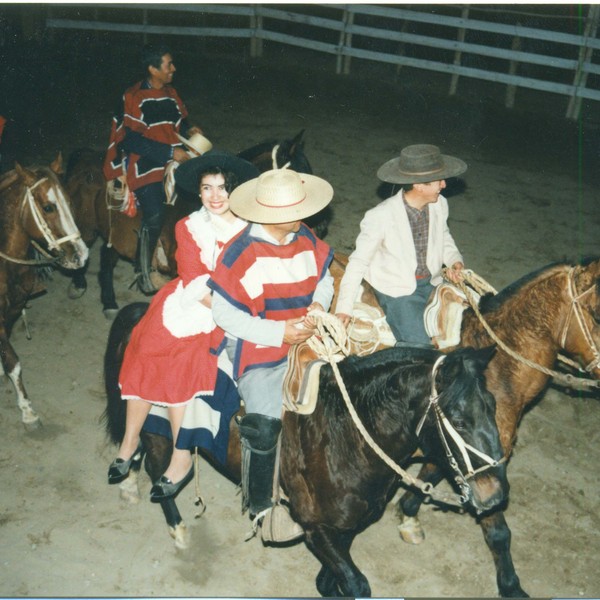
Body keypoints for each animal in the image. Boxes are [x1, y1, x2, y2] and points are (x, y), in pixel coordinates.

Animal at [0, 155, 88, 426]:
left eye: (69, 201)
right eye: (48, 207)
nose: (81, 255)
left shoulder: (13, 309)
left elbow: (10, 361)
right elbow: (13, 360)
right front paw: (28, 411)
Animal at [63, 130, 324, 318]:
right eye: (299, 177)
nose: (321, 226)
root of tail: (86, 156)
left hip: (113, 236)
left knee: (106, 259)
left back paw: (109, 302)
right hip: (86, 227)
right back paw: (79, 285)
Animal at [103, 308, 506, 596]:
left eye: (492, 406)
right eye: (458, 418)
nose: (495, 495)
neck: (346, 435)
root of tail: (140, 313)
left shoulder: (348, 526)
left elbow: (333, 579)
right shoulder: (316, 529)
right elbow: (356, 584)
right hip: (160, 434)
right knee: (159, 470)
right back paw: (176, 527)